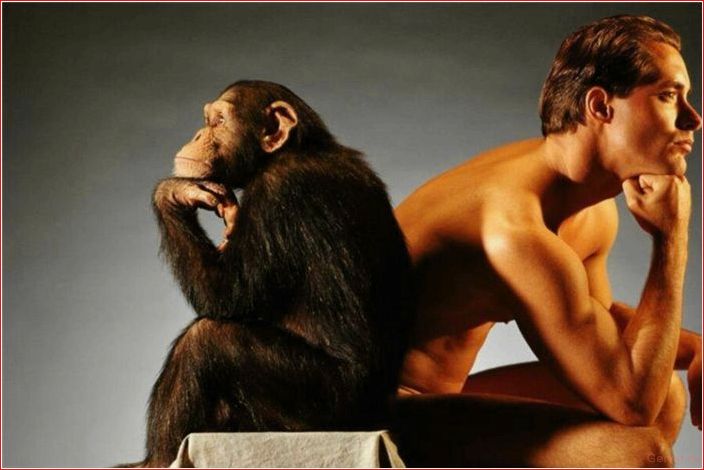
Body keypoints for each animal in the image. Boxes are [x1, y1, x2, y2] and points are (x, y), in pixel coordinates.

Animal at [127, 81, 413, 467]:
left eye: (218, 121)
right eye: (208, 120)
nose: (198, 133)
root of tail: (378, 420)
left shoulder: (277, 190)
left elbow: (228, 294)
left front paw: (175, 191)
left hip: (317, 409)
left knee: (207, 341)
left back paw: (157, 459)